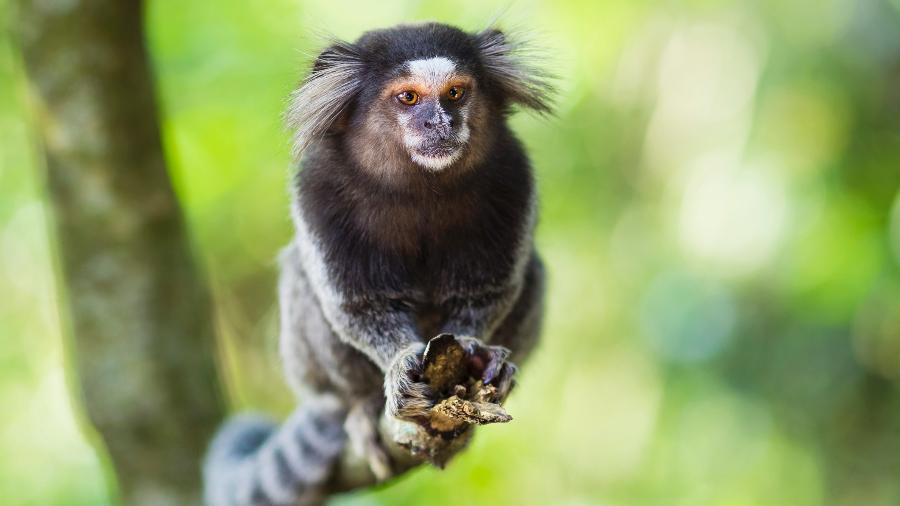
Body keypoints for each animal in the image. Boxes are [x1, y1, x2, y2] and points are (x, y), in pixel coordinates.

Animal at [205, 21, 552, 504]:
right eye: (408, 97)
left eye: (456, 93)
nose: (440, 123)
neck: (421, 185)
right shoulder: (319, 187)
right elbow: (356, 304)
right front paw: (399, 363)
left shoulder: (512, 176)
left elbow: (489, 291)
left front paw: (476, 350)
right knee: (302, 278)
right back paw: (360, 406)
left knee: (533, 270)